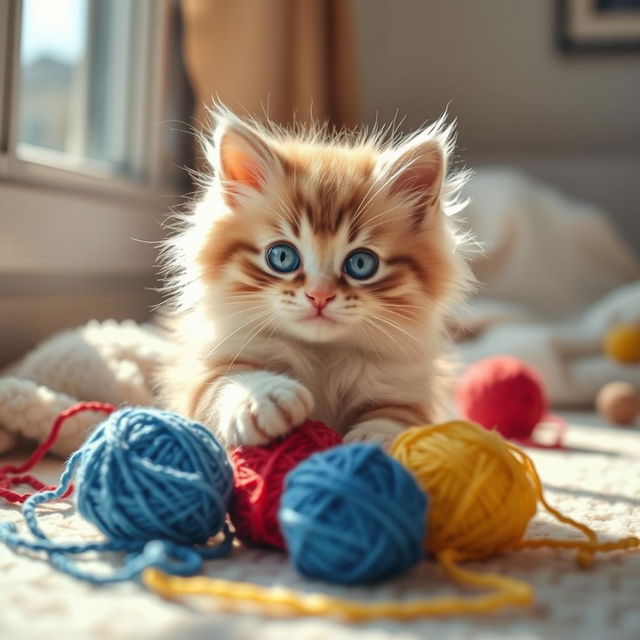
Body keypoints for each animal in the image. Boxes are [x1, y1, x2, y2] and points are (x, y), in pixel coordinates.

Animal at [158, 107, 472, 450]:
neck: (323, 356)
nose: (319, 295)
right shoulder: (204, 375)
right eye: (282, 257)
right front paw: (264, 398)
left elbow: (399, 420)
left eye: (361, 264)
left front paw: (374, 442)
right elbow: (226, 383)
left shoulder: (408, 392)